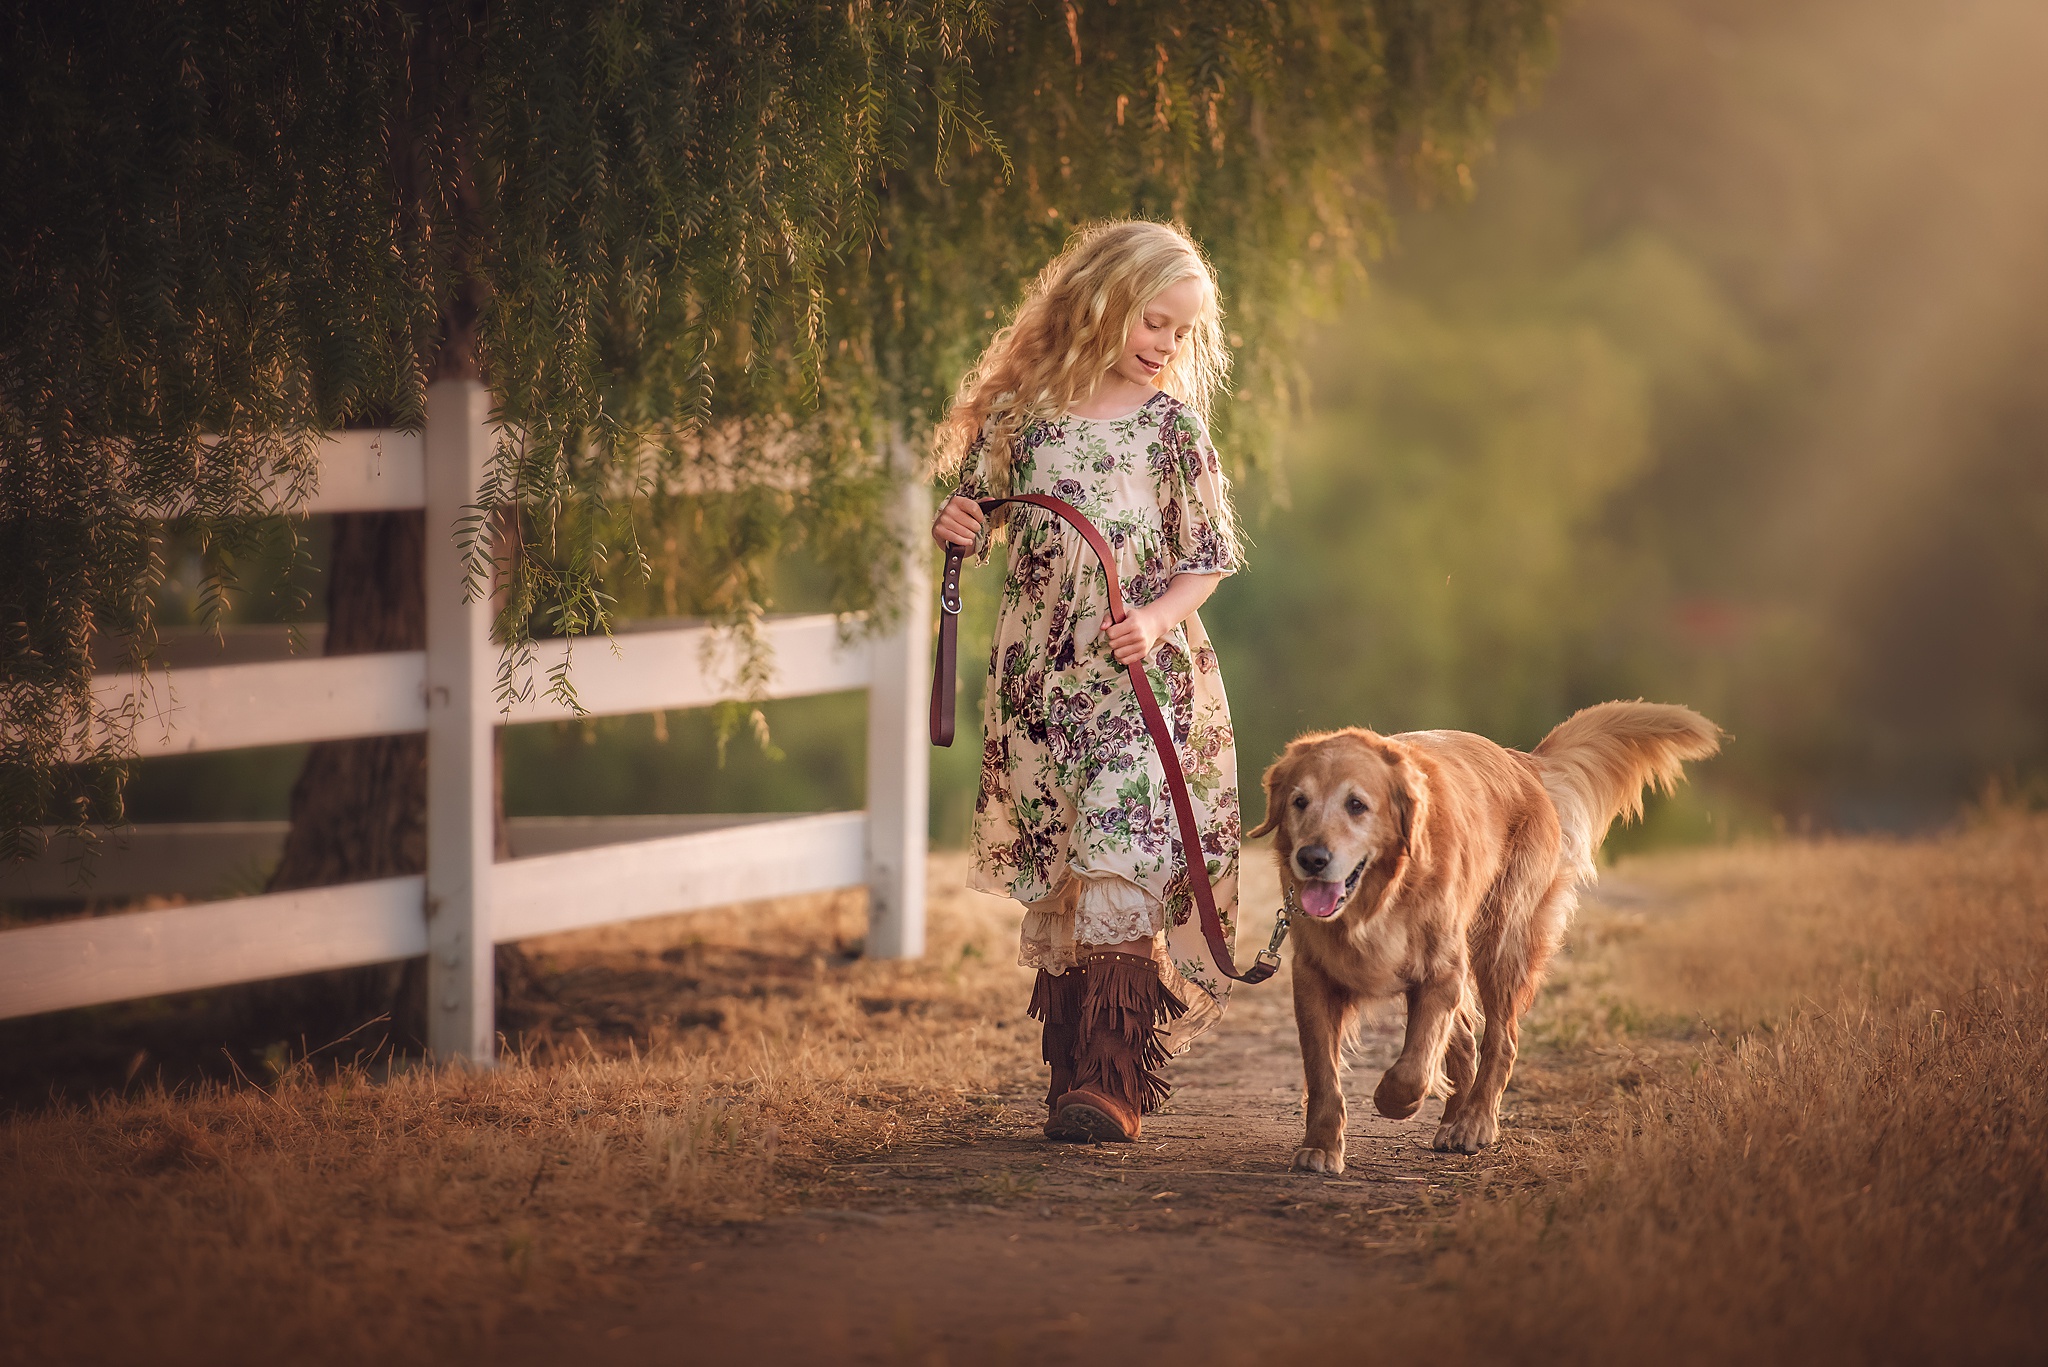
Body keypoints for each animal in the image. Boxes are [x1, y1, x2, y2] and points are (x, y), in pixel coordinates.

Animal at [1236, 700, 1720, 1172]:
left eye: (1356, 805)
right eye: (1299, 802)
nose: (1311, 859)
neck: (1380, 898)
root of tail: (1523, 761)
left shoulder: (1442, 969)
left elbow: (1412, 1070)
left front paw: (1393, 1102)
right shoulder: (1312, 976)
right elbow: (1322, 1072)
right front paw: (1320, 1145)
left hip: (1501, 941)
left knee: (1501, 1041)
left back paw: (1473, 1123)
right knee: (1467, 1038)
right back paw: (1455, 1117)